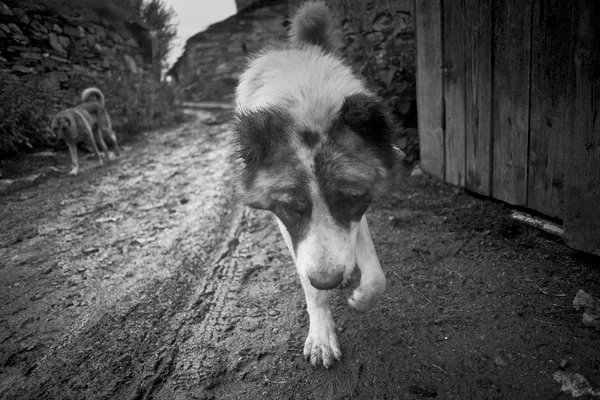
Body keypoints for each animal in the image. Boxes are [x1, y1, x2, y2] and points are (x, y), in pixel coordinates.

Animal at [232, 0, 400, 368]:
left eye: (348, 201)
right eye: (291, 207)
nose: (330, 280)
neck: (307, 106)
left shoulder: (358, 211)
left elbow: (376, 275)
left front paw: (361, 296)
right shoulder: (286, 225)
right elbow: (309, 282)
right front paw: (322, 335)